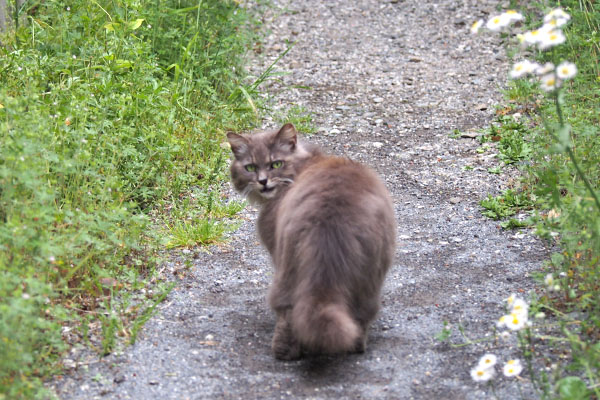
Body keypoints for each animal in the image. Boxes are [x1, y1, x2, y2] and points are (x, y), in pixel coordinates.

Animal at [225, 123, 394, 360]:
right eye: (250, 167)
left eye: (276, 164)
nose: (263, 181)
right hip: (368, 278)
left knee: (287, 315)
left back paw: (284, 353)